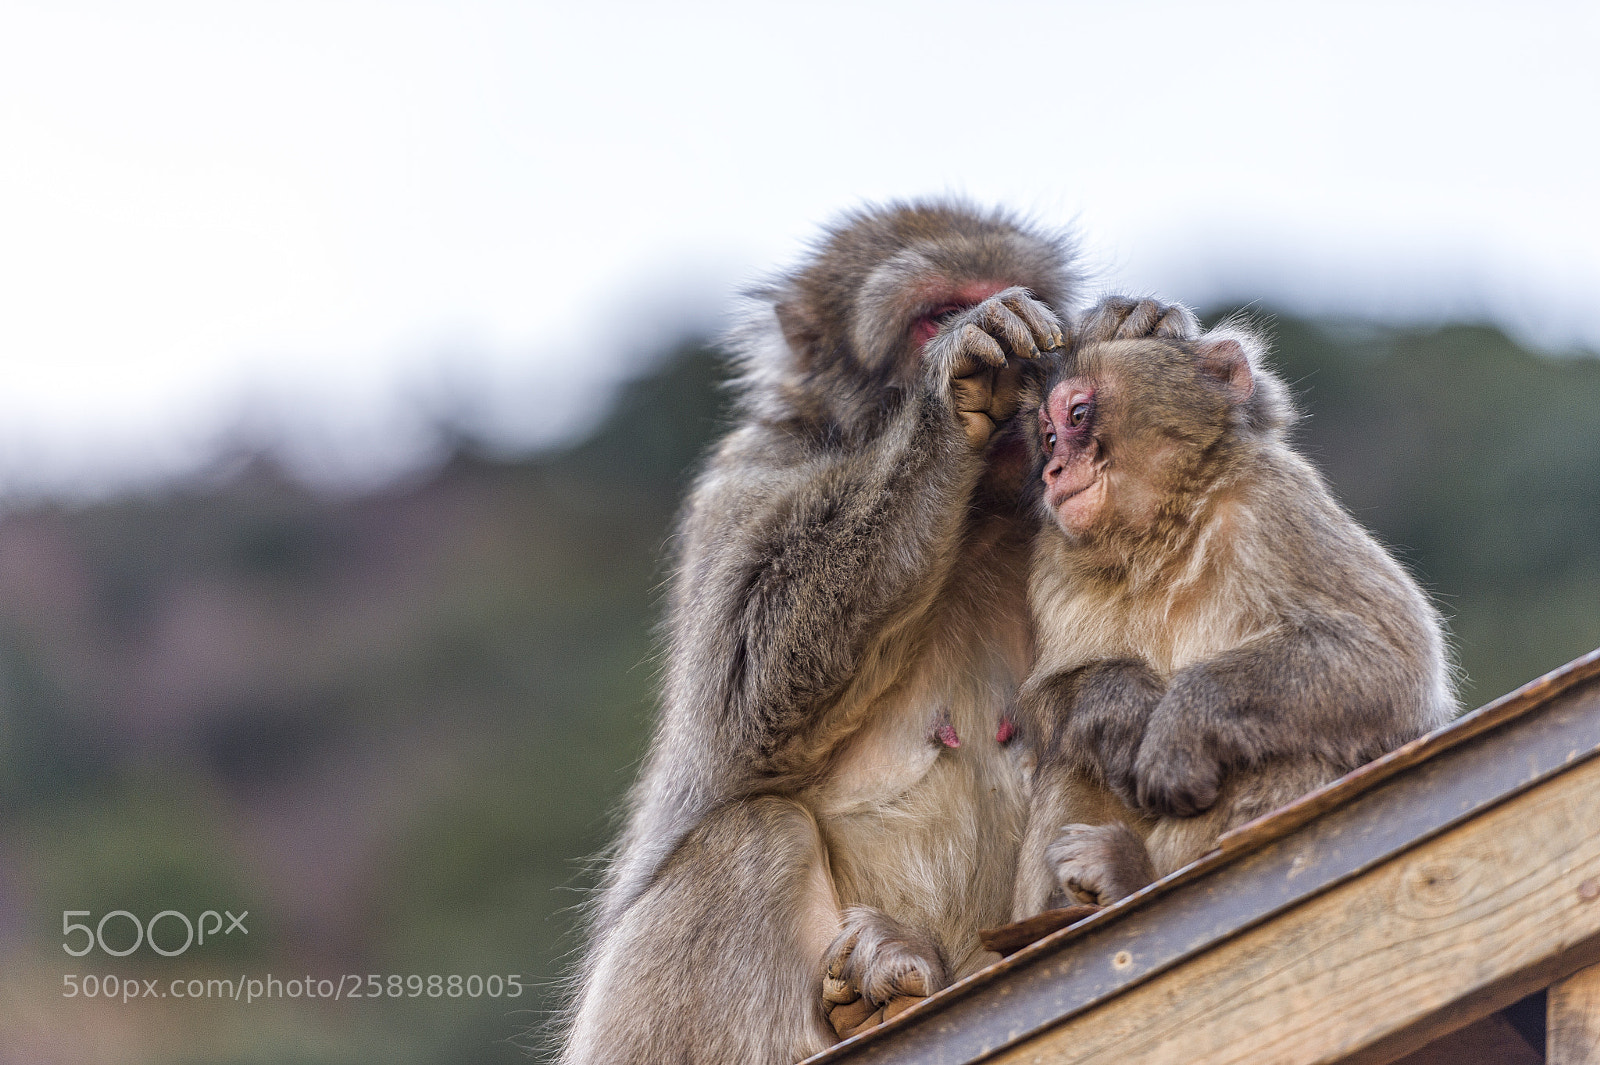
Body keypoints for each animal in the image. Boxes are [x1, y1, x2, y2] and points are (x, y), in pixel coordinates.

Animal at [1011, 316, 1465, 914]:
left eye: (1078, 414)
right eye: (1047, 437)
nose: (1054, 470)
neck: (1158, 538)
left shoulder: (1273, 502)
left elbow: (1389, 661)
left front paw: (1181, 723)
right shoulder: (1053, 562)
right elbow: (1047, 701)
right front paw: (1124, 705)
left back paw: (1132, 870)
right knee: (1071, 755)